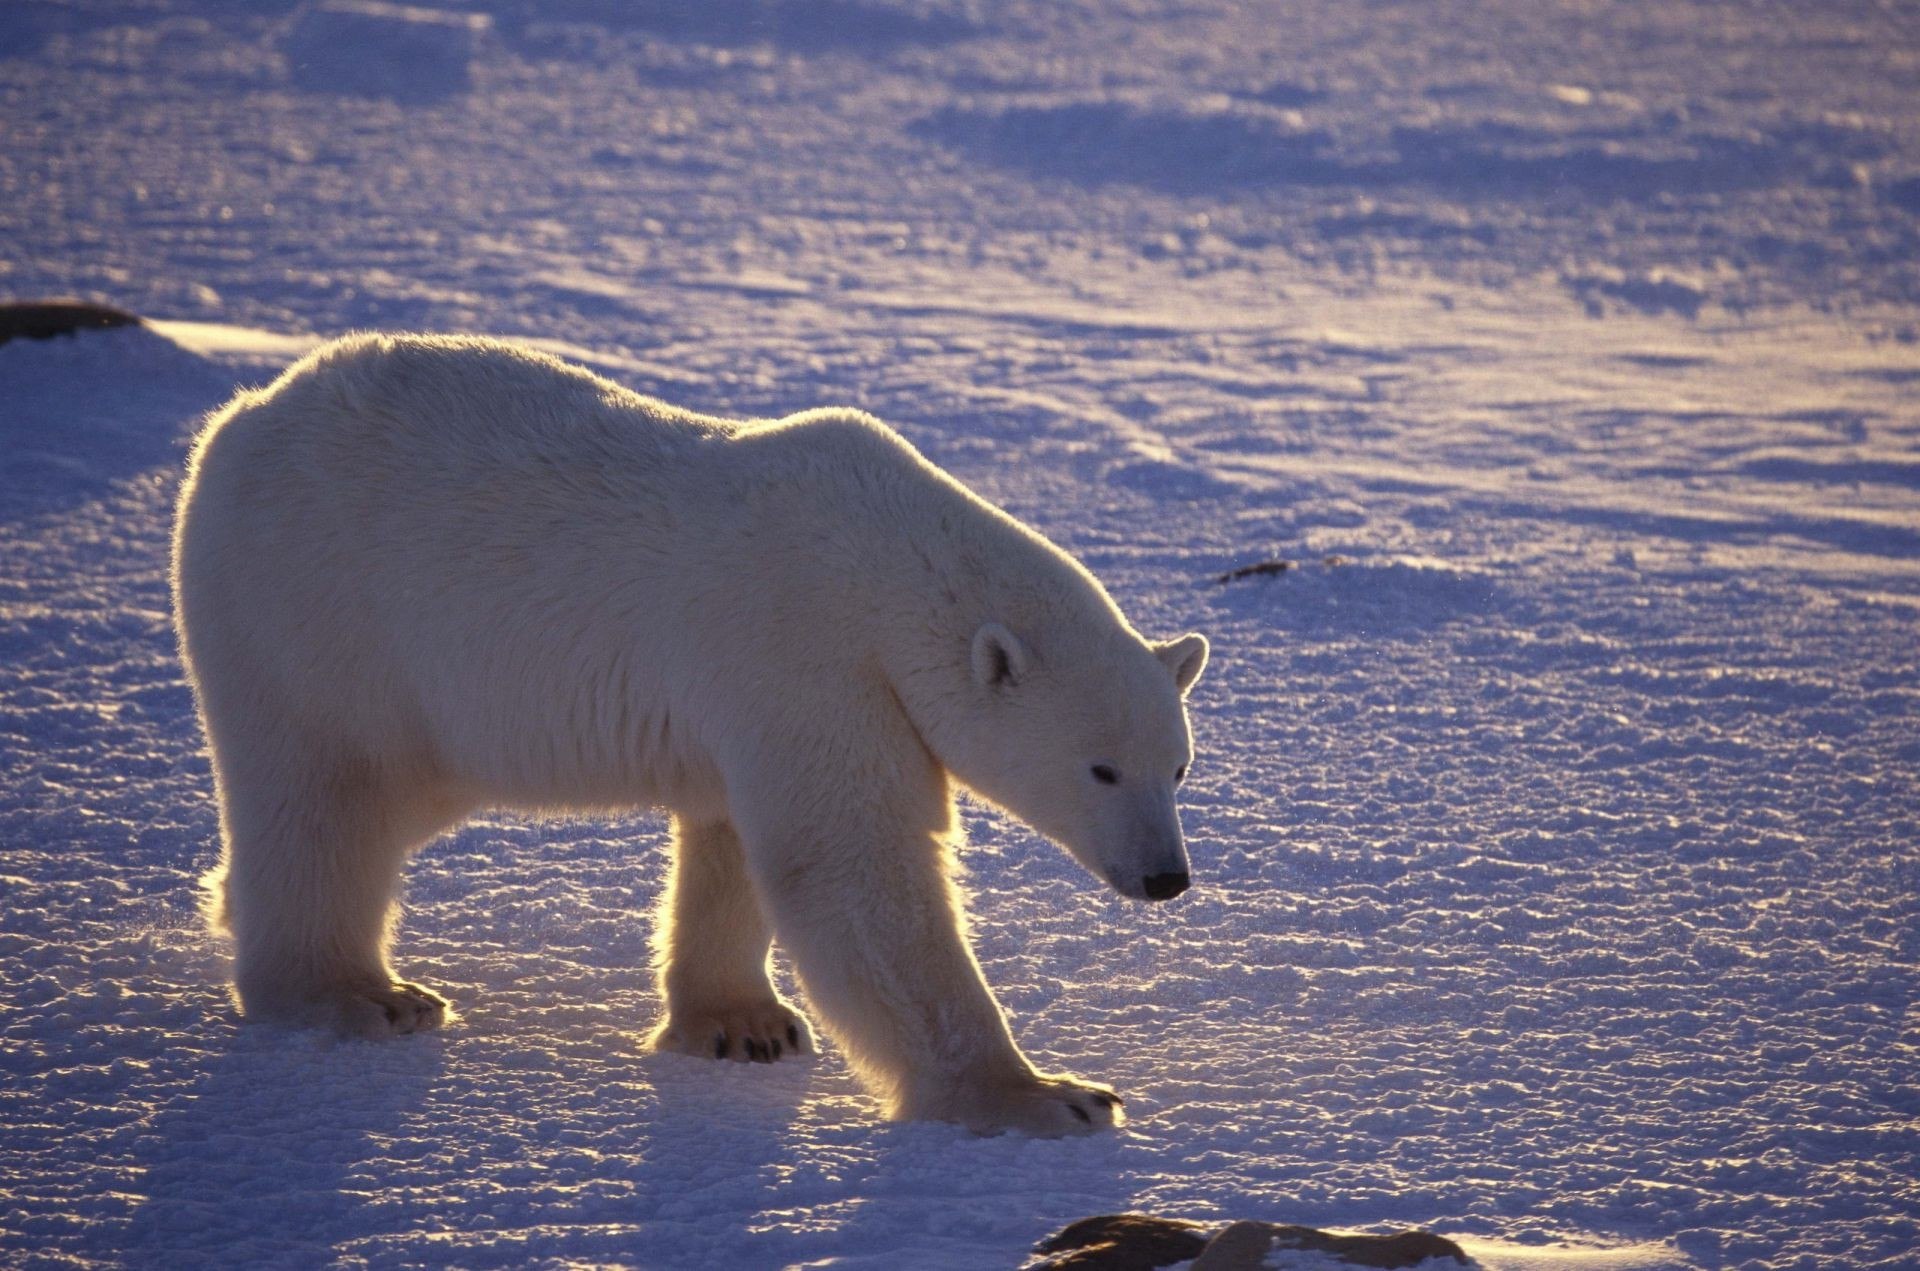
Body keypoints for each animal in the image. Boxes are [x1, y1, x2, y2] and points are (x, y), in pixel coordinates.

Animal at [172, 334, 1205, 1136]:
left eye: (1180, 767)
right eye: (1102, 768)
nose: (1167, 878)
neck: (888, 566)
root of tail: (236, 423)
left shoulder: (761, 699)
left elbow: (737, 844)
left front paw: (744, 1026)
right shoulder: (804, 649)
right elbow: (854, 863)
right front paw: (1052, 1095)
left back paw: (232, 902)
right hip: (321, 613)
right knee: (326, 802)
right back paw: (360, 993)